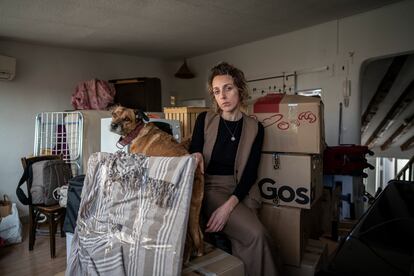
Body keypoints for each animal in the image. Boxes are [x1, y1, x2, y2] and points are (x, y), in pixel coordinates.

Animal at [110, 105, 204, 260]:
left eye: (126, 119)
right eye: (114, 114)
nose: (113, 125)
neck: (136, 131)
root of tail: (195, 169)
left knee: (189, 241)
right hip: (194, 209)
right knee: (198, 236)